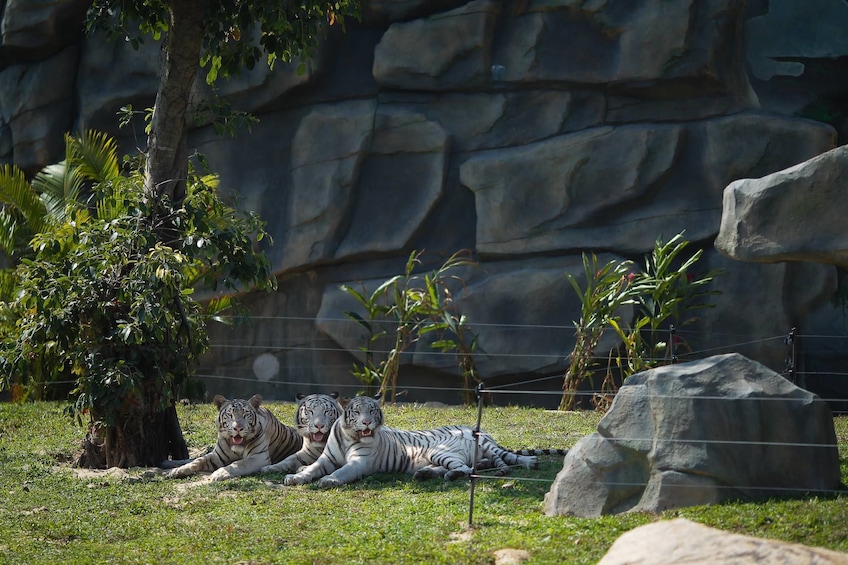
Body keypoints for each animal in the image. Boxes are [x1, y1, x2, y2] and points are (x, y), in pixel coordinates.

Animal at [162, 392, 302, 480]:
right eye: (230, 414)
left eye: (246, 415)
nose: (238, 428)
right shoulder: (217, 456)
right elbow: (198, 461)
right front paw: (176, 471)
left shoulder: (259, 457)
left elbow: (239, 464)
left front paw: (218, 474)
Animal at [282, 394, 556, 486]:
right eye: (358, 412)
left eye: (372, 411)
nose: (367, 423)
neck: (350, 435)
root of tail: (471, 429)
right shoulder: (327, 458)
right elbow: (313, 467)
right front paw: (296, 476)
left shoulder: (359, 462)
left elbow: (341, 471)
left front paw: (329, 480)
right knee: (470, 466)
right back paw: (424, 474)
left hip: (440, 451)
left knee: (468, 469)